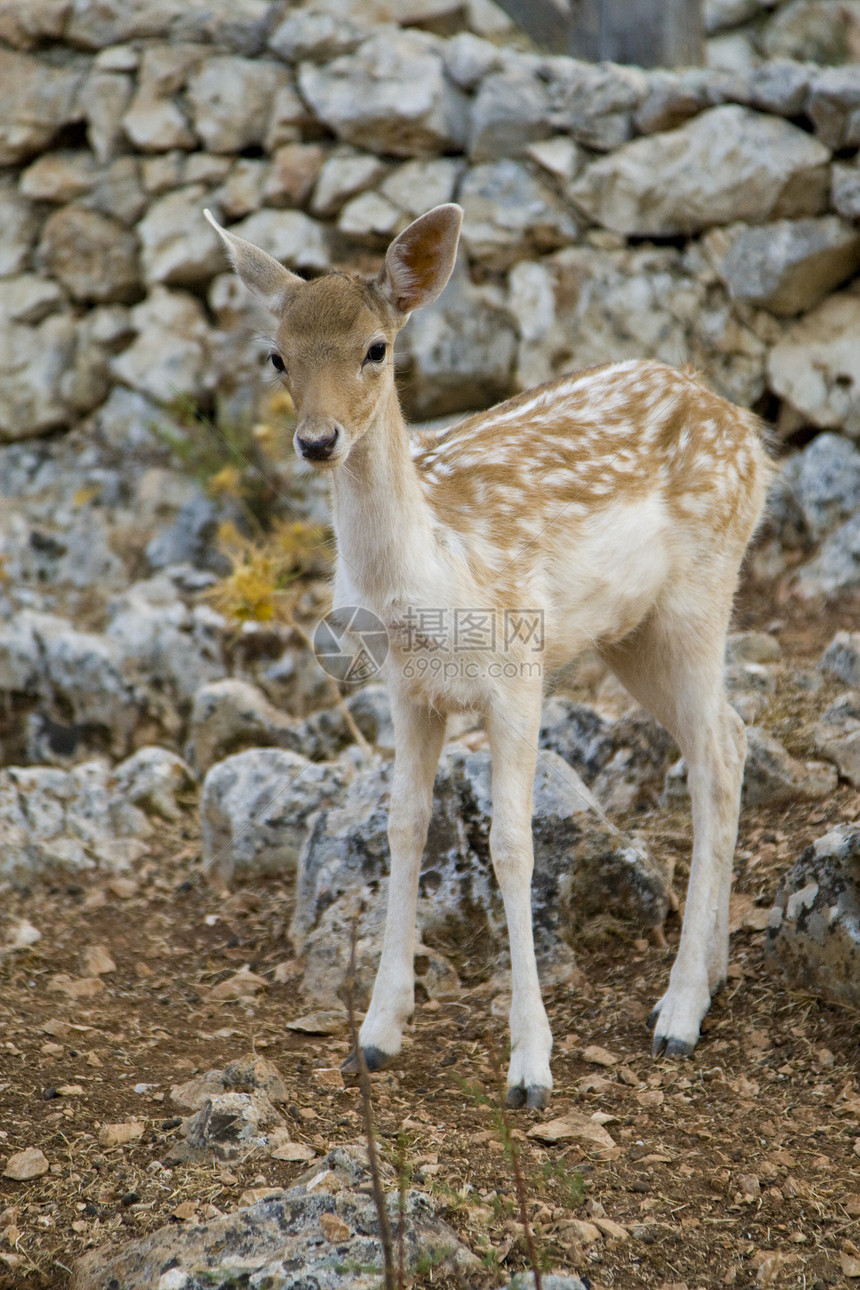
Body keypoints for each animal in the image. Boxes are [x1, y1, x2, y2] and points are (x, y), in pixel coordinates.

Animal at [206, 201, 773, 1109]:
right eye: (277, 355)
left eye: (377, 347)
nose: (318, 440)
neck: (432, 574)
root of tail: (747, 429)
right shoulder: (406, 689)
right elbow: (404, 825)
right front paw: (377, 1033)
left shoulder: (518, 672)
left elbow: (513, 846)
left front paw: (531, 1065)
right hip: (634, 634)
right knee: (728, 733)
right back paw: (709, 974)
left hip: (703, 587)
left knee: (715, 753)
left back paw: (680, 1011)